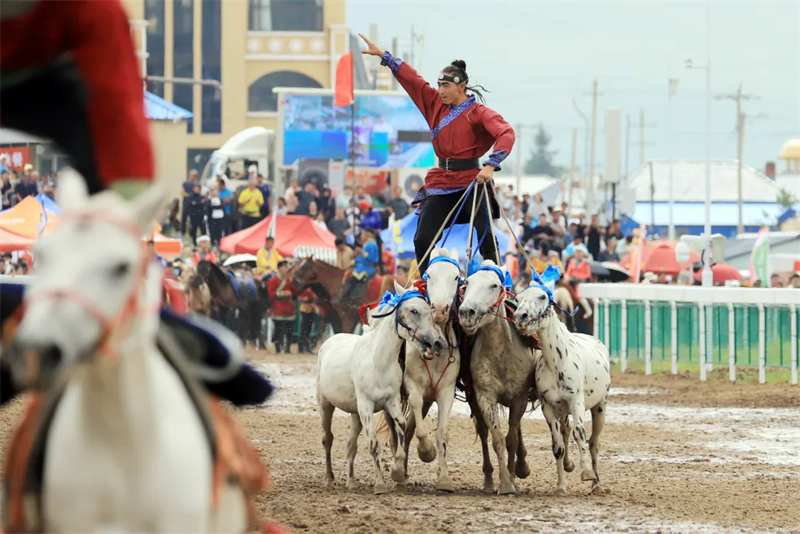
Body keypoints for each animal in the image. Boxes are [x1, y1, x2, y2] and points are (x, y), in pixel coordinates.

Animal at [316, 282, 446, 496]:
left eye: (430, 309)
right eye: (414, 310)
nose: (438, 342)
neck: (379, 361)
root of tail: (328, 341)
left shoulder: (391, 402)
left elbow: (400, 432)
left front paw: (397, 472)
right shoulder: (366, 406)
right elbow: (374, 444)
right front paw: (380, 484)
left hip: (355, 413)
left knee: (351, 445)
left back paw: (351, 482)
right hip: (326, 404)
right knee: (328, 439)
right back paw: (329, 479)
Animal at [456, 262, 536, 496]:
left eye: (494, 285)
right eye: (467, 283)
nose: (466, 312)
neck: (501, 353)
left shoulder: (519, 398)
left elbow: (511, 439)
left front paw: (513, 478)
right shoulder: (485, 396)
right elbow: (497, 437)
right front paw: (505, 482)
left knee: (516, 431)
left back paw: (522, 467)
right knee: (483, 433)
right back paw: (489, 479)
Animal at [516, 272, 608, 498]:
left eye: (542, 296)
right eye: (518, 296)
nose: (520, 317)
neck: (557, 362)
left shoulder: (576, 402)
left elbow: (580, 433)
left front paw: (586, 473)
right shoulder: (548, 407)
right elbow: (557, 445)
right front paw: (560, 487)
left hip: (600, 406)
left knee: (594, 443)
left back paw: (597, 483)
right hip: (563, 410)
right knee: (566, 432)